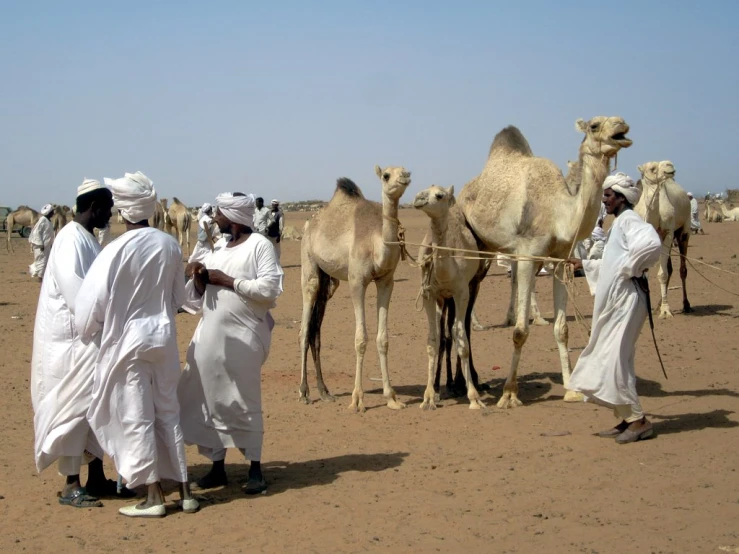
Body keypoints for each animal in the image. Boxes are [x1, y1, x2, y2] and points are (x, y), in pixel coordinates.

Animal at [300, 166, 414, 412]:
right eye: (386, 175)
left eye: (405, 169)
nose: (405, 176)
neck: (375, 242)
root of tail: (309, 224)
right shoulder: (356, 281)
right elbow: (360, 339)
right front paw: (357, 399)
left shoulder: (386, 281)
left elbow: (383, 339)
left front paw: (392, 398)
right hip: (309, 264)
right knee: (304, 328)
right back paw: (304, 392)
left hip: (328, 281)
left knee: (315, 330)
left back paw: (324, 391)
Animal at [414, 183, 488, 408]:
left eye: (439, 195)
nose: (418, 199)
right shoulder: (430, 294)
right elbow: (433, 339)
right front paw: (429, 395)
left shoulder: (461, 291)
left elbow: (461, 338)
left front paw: (473, 396)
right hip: (443, 299)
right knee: (444, 334)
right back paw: (444, 385)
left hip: (472, 287)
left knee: (460, 329)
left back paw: (462, 382)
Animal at [456, 114, 632, 406]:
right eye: (594, 126)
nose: (622, 125)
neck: (557, 213)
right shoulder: (527, 255)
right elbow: (519, 331)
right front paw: (509, 393)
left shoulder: (560, 260)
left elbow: (562, 329)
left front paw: (571, 388)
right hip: (473, 243)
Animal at [636, 157, 692, 316]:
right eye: (652, 168)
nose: (669, 165)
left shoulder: (668, 232)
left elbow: (662, 274)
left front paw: (666, 310)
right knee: (669, 268)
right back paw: (658, 305)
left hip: (683, 231)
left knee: (682, 269)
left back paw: (686, 305)